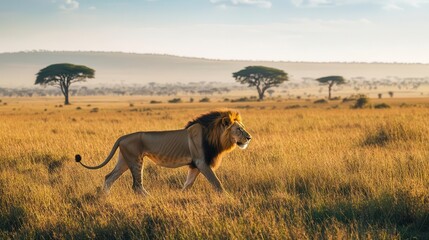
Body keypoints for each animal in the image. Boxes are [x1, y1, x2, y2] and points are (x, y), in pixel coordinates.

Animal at [75, 109, 251, 195]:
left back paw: (104, 197)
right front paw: (228, 197)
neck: (214, 137)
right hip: (136, 160)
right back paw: (149, 198)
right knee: (136, 185)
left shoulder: (195, 165)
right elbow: (217, 183)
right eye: (238, 129)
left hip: (124, 160)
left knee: (109, 177)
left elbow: (188, 184)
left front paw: (181, 195)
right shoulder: (202, 162)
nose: (249, 137)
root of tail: (122, 137)